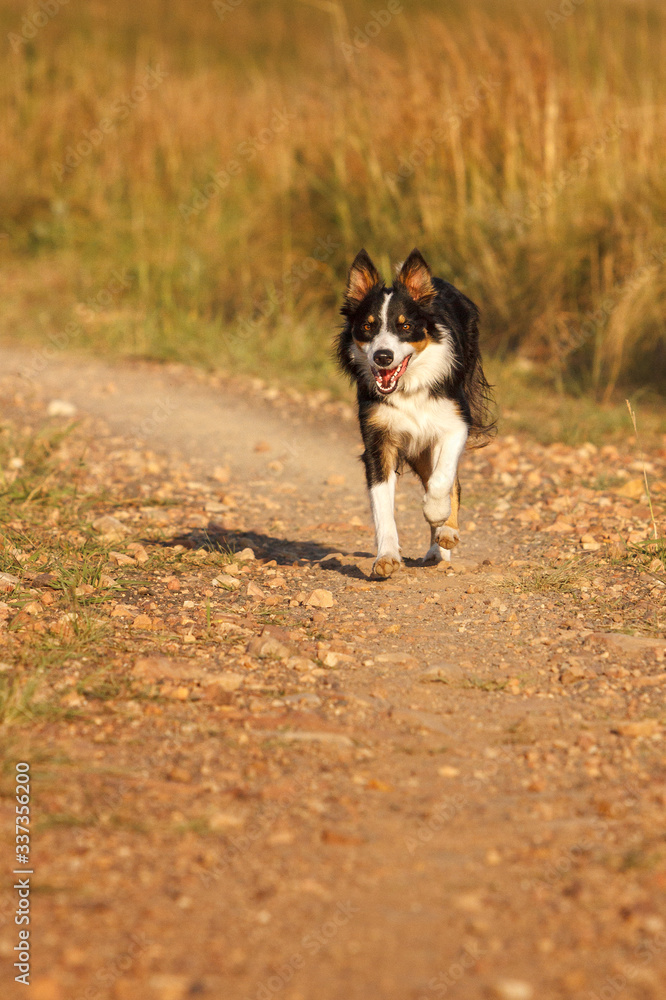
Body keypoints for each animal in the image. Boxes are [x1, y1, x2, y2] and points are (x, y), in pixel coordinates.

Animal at [338, 248, 492, 580]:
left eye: (405, 326)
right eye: (367, 326)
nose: (383, 357)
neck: (408, 387)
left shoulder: (456, 421)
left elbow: (442, 479)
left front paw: (437, 514)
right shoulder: (377, 438)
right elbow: (382, 503)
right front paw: (386, 557)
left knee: (450, 482)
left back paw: (445, 536)